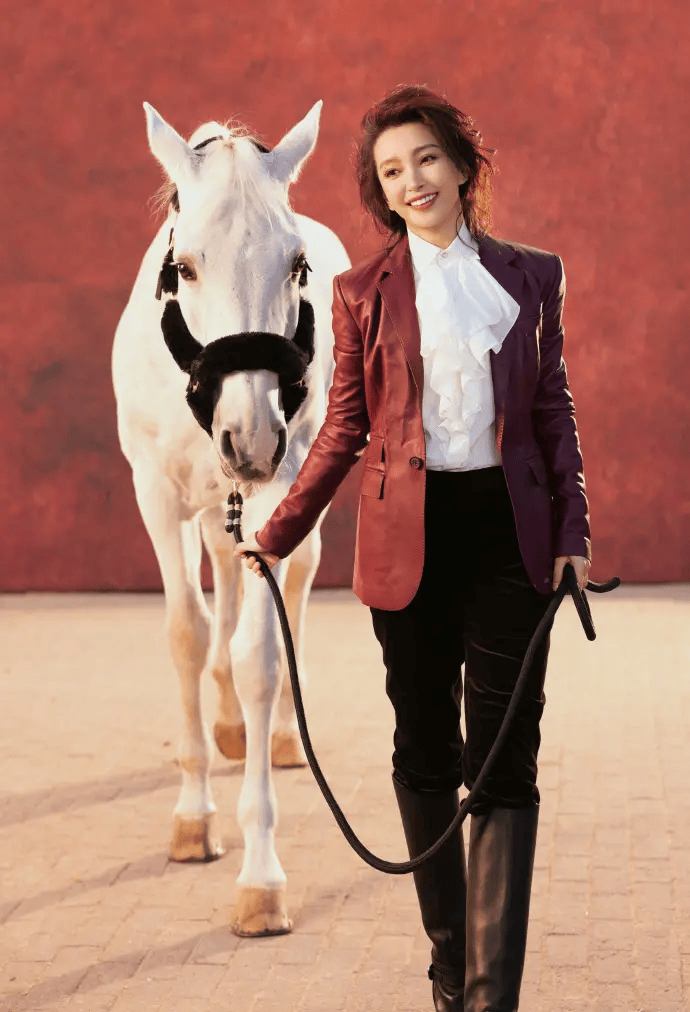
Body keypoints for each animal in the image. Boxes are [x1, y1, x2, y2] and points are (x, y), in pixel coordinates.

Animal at [111, 100, 351, 936]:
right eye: (185, 266)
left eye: (297, 264)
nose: (250, 437)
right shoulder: (155, 490)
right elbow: (187, 632)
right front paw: (193, 817)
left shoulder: (280, 485)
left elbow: (260, 656)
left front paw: (260, 877)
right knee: (221, 571)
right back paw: (224, 728)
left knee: (296, 581)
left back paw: (273, 735)